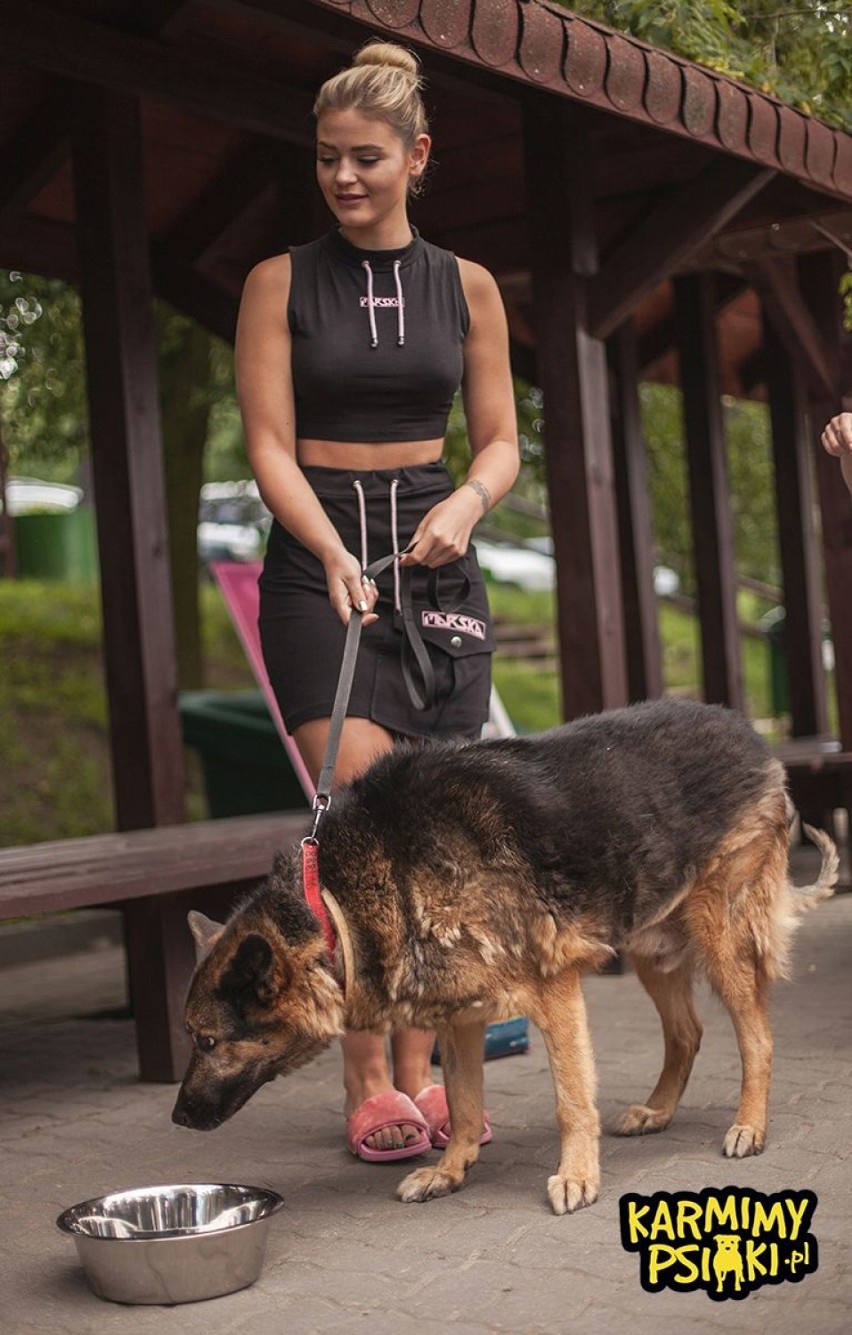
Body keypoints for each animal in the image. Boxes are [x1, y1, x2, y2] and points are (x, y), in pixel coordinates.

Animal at [170, 704, 838, 1217]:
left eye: (207, 1042)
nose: (176, 1118)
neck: (334, 906)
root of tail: (749, 731)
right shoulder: (460, 1017)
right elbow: (464, 1105)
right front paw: (449, 1170)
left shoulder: (555, 994)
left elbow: (572, 1101)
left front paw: (578, 1176)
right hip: (653, 946)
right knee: (688, 1033)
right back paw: (658, 1110)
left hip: (719, 937)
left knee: (757, 1038)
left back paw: (750, 1125)